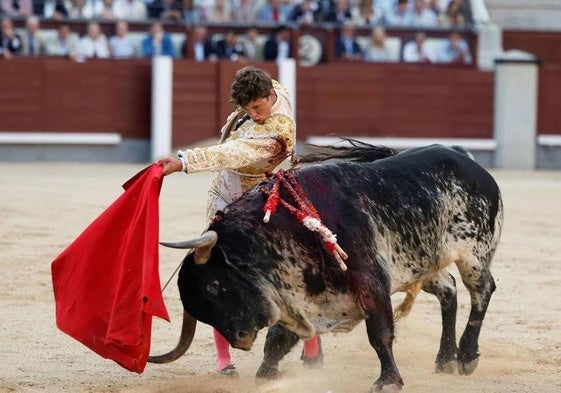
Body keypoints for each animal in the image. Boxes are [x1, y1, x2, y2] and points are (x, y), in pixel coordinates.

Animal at [149, 142, 504, 390]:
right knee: (449, 290)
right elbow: (278, 340)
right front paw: (267, 376)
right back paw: (445, 359)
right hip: (422, 262)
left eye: (214, 285)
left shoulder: (370, 281)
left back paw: (466, 356)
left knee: (482, 290)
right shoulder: (299, 297)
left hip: (473, 254)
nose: (240, 338)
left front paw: (388, 381)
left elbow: (380, 333)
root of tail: (463, 155)